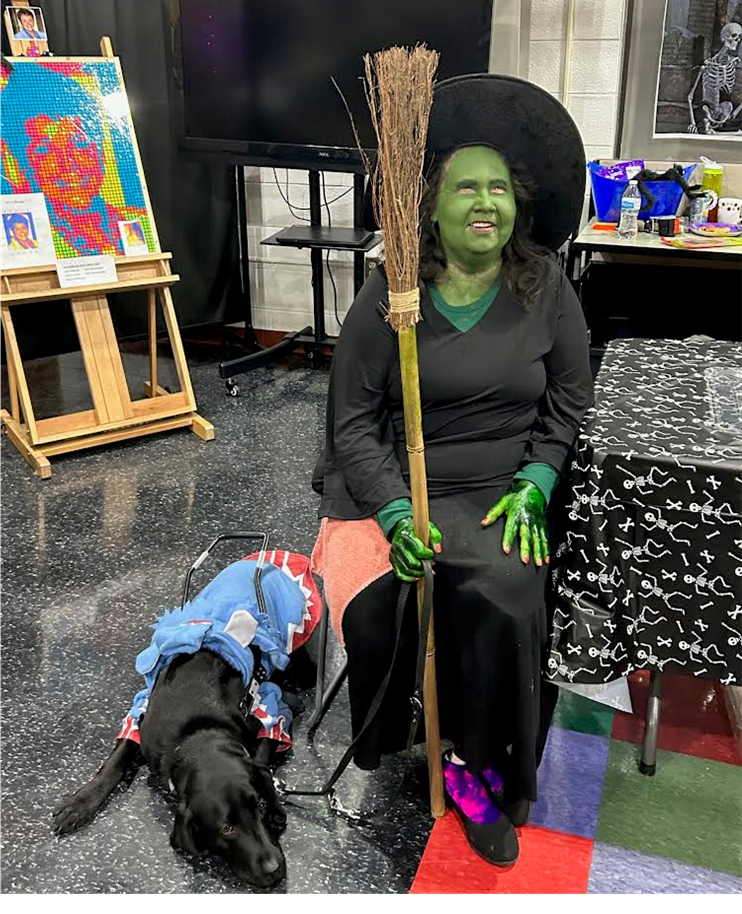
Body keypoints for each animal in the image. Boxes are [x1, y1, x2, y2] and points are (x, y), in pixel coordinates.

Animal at [53, 644, 294, 888]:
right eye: (226, 829)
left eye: (261, 806)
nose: (274, 869)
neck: (197, 734)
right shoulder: (142, 715)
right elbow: (116, 760)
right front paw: (80, 803)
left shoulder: (273, 706)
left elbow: (263, 754)